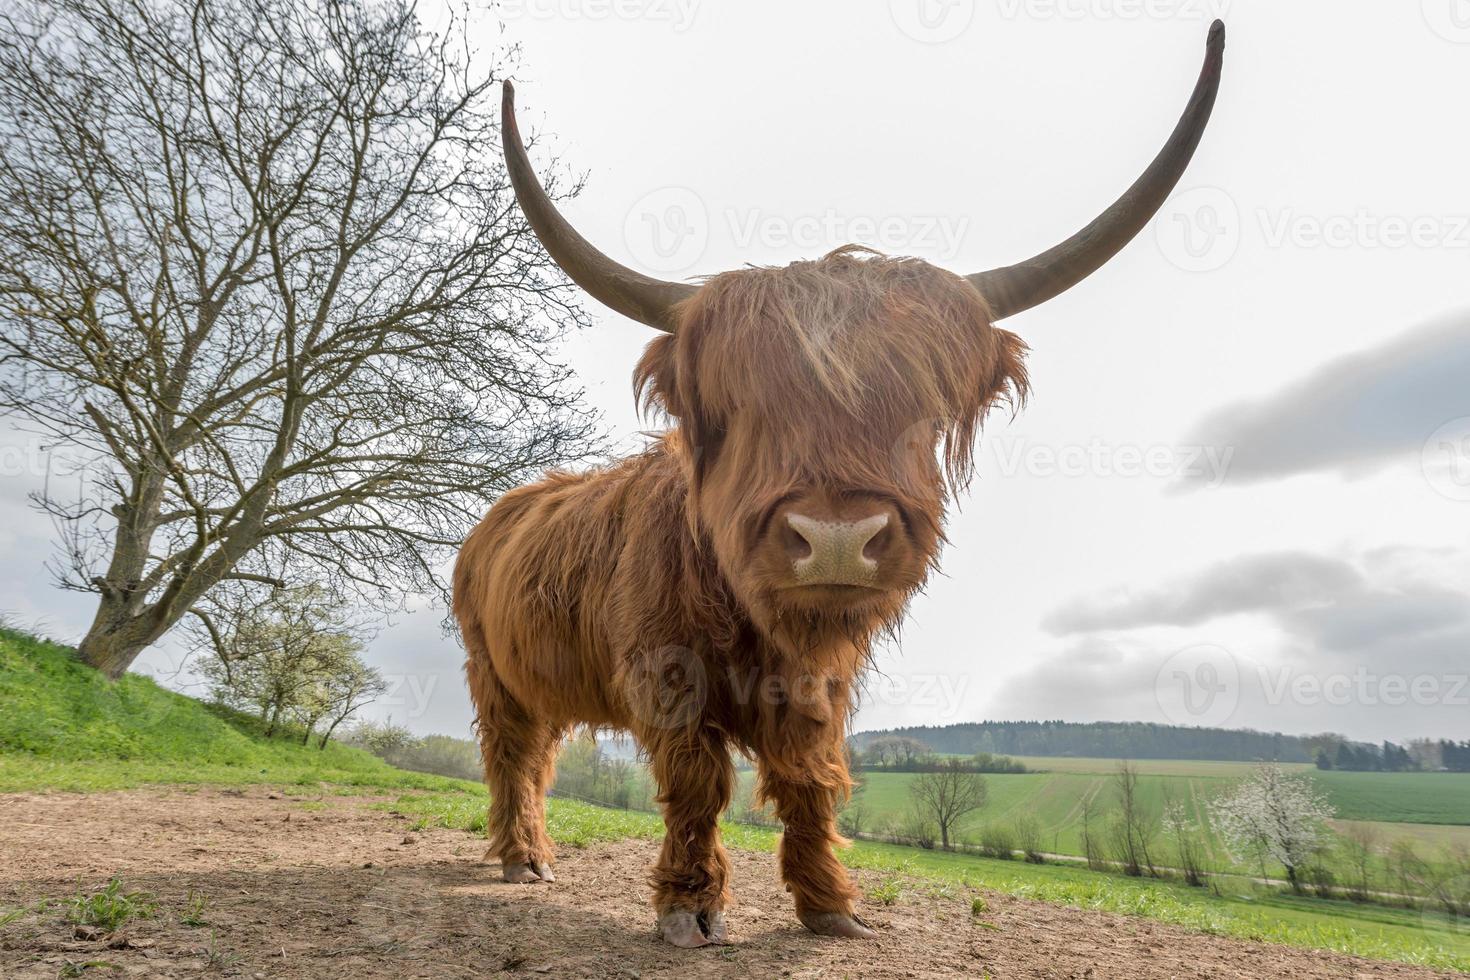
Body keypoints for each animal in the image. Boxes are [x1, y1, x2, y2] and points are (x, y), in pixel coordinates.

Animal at [452, 22, 1223, 946]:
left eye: (918, 412)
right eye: (743, 410)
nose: (836, 540)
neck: (760, 627)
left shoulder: (819, 685)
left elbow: (811, 780)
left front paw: (830, 906)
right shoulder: (668, 671)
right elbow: (698, 783)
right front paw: (688, 905)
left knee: (540, 757)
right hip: (490, 670)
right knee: (511, 754)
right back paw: (520, 857)